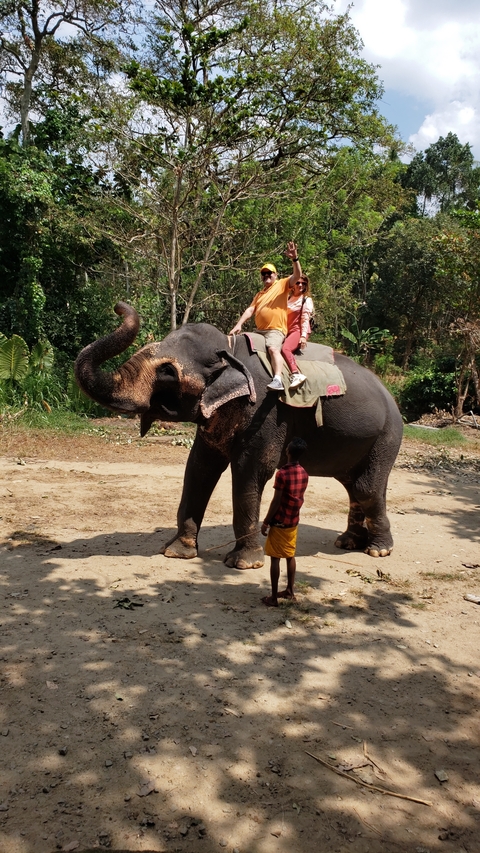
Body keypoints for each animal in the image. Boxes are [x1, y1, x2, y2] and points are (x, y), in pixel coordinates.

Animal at [74, 302, 403, 568]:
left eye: (167, 372)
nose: (118, 307)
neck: (229, 349)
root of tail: (391, 396)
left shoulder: (266, 410)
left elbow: (251, 470)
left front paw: (243, 563)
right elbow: (199, 468)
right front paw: (176, 552)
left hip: (387, 435)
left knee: (365, 487)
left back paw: (378, 551)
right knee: (354, 485)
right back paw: (348, 542)